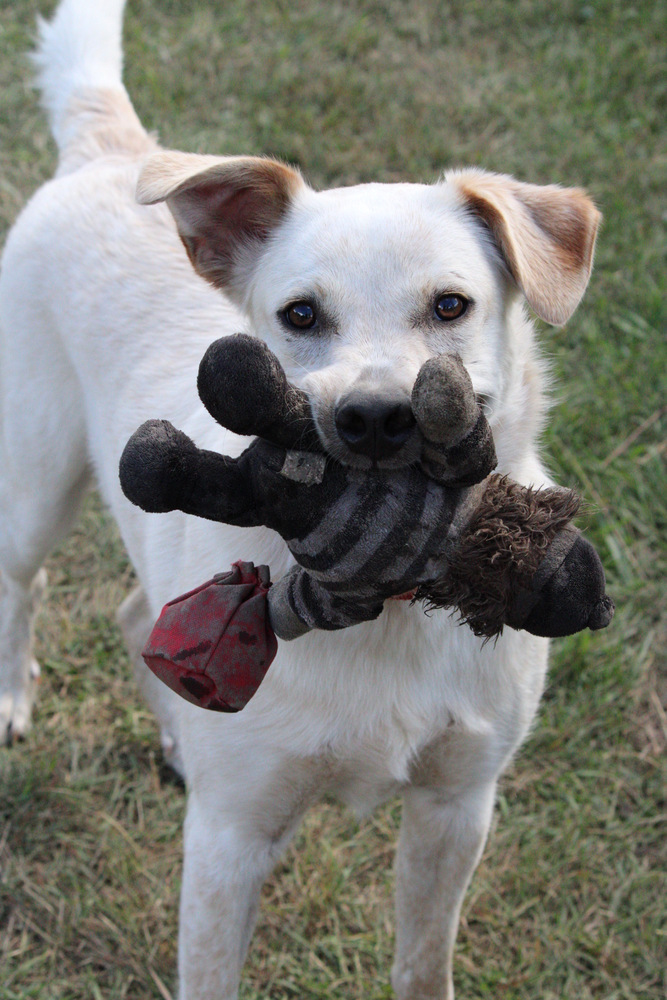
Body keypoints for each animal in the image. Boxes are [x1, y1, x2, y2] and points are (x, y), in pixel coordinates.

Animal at [0, 1, 604, 1000]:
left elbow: (423, 965)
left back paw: (176, 730)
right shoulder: (229, 838)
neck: (390, 604)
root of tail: (111, 148)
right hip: (35, 483)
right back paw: (14, 700)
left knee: (137, 613)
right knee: (27, 586)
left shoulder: (457, 805)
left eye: (450, 306)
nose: (376, 419)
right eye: (299, 316)